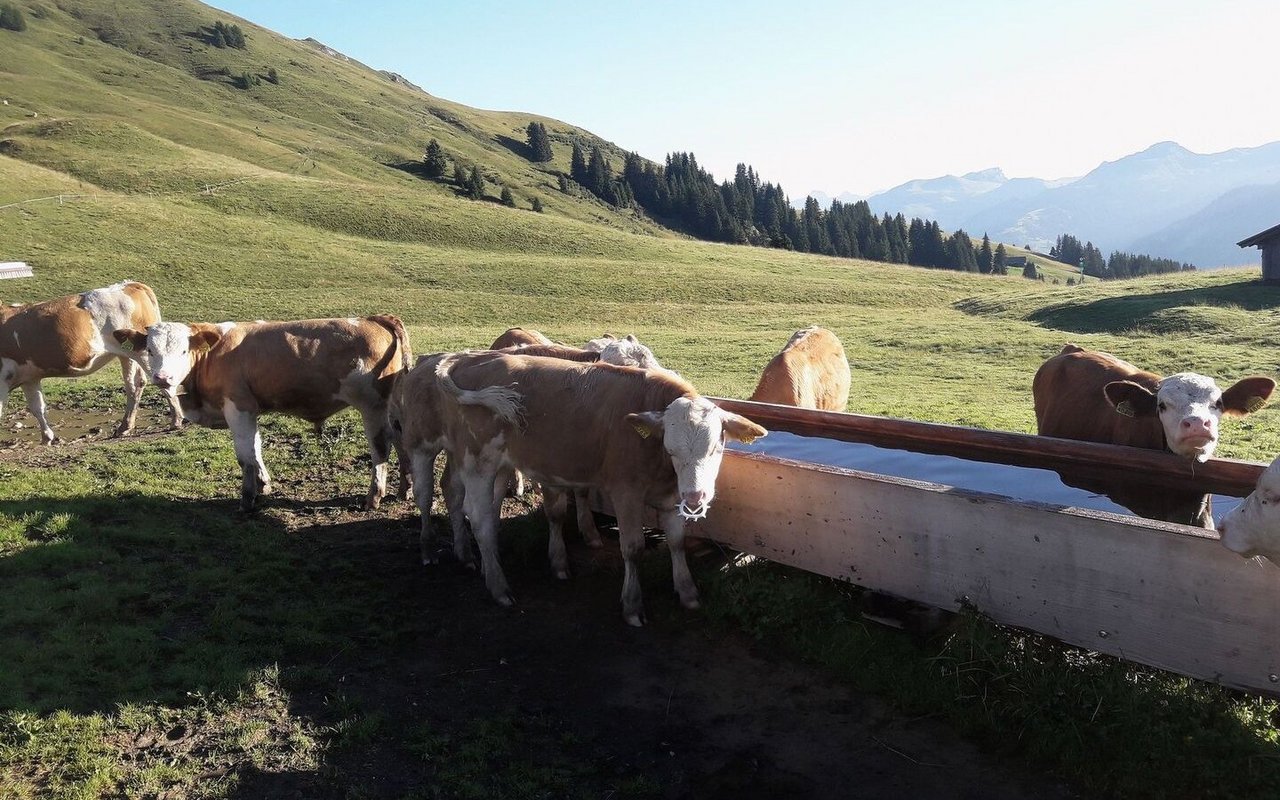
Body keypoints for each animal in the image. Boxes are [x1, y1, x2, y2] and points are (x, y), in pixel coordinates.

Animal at [0, 279, 183, 442]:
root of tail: (130, 284)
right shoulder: (29, 377)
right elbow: (38, 407)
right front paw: (47, 437)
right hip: (127, 354)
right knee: (135, 385)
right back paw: (125, 427)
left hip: (147, 354)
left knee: (163, 381)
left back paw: (176, 420)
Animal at [118, 314, 412, 509]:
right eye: (150, 350)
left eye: (182, 350)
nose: (162, 378)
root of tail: (373, 318)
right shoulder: (250, 409)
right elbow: (256, 447)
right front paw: (263, 484)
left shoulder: (238, 407)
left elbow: (245, 456)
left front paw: (247, 498)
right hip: (392, 406)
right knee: (400, 440)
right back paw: (404, 489)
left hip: (372, 404)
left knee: (381, 445)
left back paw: (374, 496)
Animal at [389, 350, 762, 624]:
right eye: (671, 449)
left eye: (716, 447)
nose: (696, 497)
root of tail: (459, 358)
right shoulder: (626, 491)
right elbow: (632, 547)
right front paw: (632, 604)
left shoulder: (671, 497)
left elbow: (677, 542)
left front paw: (687, 592)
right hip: (444, 450)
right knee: (454, 506)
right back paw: (485, 580)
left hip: (482, 461)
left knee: (464, 500)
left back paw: (470, 557)